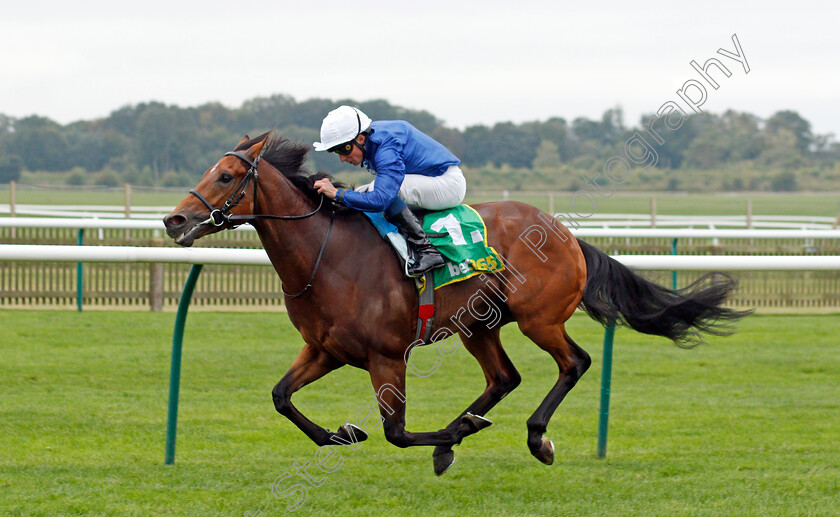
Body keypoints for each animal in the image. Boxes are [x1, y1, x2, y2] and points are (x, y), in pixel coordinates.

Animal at [164, 131, 748, 474]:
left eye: (226, 175)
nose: (173, 220)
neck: (325, 256)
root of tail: (564, 232)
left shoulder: (386, 355)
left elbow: (396, 432)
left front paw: (450, 432)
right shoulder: (326, 350)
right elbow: (282, 397)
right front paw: (340, 434)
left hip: (538, 318)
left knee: (574, 362)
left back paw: (535, 438)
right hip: (479, 325)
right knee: (505, 377)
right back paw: (467, 429)